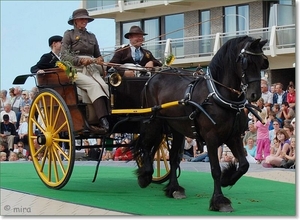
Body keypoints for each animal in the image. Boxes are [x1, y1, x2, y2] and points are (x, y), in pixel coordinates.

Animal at [135, 36, 268, 211]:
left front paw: (227, 179)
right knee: (145, 144)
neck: (218, 96)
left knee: (172, 156)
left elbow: (244, 165)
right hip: (154, 120)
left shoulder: (233, 136)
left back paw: (174, 188)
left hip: (177, 128)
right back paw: (145, 176)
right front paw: (219, 200)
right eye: (246, 62)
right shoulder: (211, 138)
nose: (255, 94)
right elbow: (215, 169)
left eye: (262, 62)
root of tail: (153, 76)